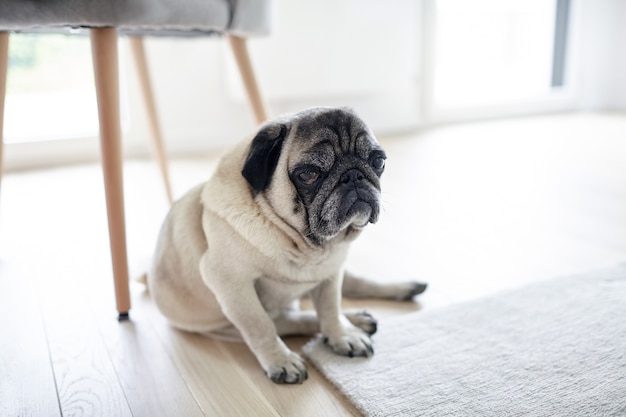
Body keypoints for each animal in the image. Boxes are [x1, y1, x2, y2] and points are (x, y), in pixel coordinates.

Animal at [149, 106, 426, 384]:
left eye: (378, 162)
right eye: (309, 174)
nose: (354, 175)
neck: (303, 245)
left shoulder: (331, 273)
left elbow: (330, 308)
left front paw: (342, 335)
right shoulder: (231, 284)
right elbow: (260, 325)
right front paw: (281, 361)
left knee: (356, 286)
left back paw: (395, 294)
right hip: (231, 323)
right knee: (293, 321)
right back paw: (358, 320)